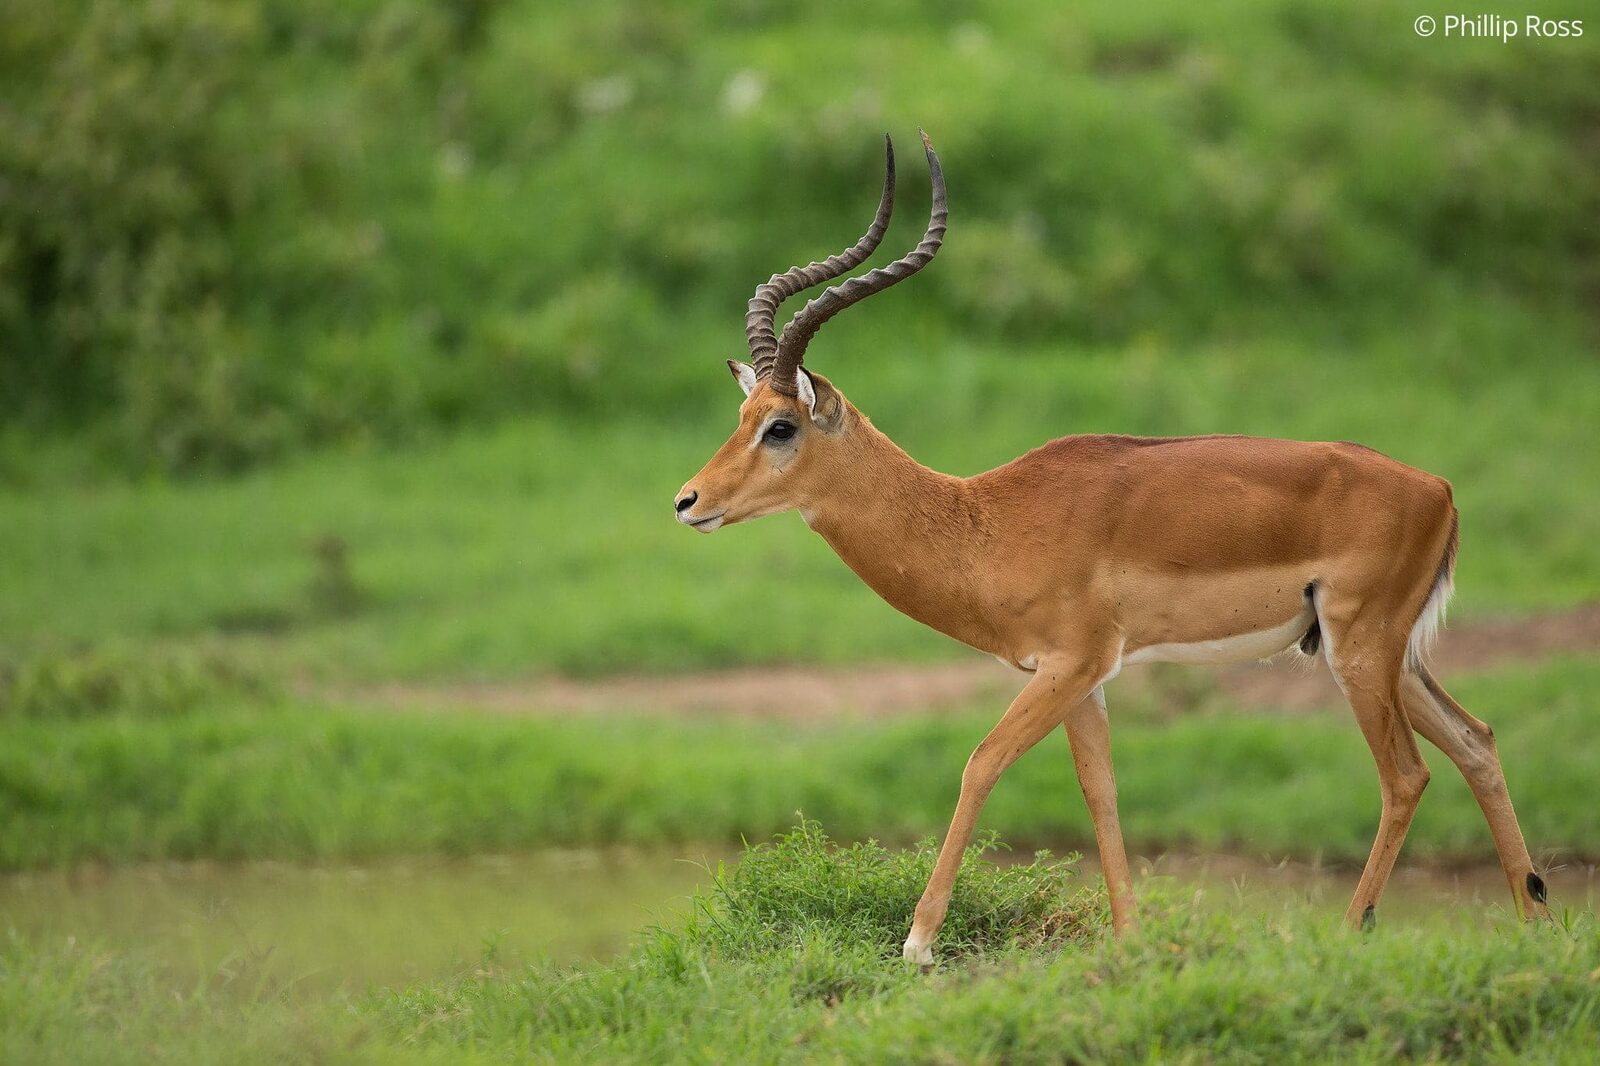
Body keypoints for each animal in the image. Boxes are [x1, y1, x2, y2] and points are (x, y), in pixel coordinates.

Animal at [674, 131, 1549, 965]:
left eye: (780, 425)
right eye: (742, 415)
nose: (688, 502)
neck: (983, 520)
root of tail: (1438, 489)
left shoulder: (1068, 663)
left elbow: (980, 760)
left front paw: (918, 943)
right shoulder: (1085, 677)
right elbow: (1102, 791)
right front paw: (1131, 941)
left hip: (1360, 648)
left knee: (1406, 774)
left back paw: (1353, 928)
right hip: (1388, 654)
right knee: (1476, 741)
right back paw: (1536, 923)